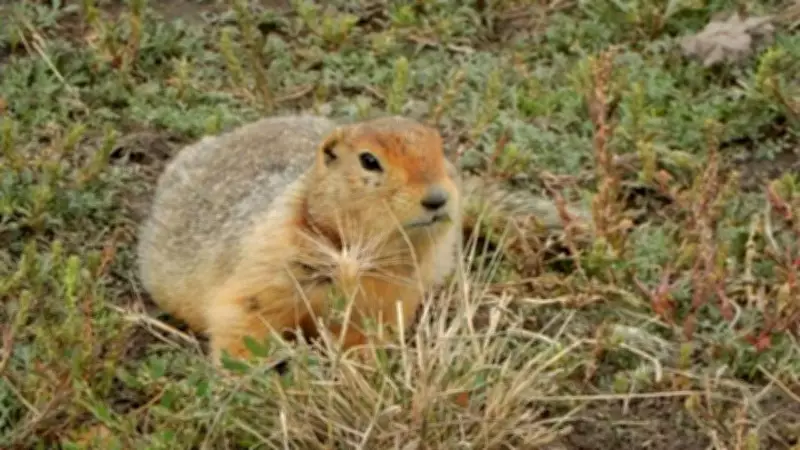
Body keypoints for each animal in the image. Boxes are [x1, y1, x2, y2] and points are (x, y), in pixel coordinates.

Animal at [136, 114, 589, 363]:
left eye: (439, 148)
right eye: (369, 160)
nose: (438, 197)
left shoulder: (390, 296)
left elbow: (365, 334)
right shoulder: (267, 264)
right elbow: (244, 319)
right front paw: (251, 378)